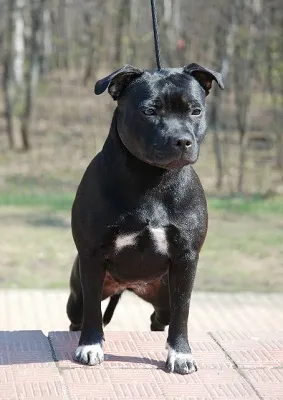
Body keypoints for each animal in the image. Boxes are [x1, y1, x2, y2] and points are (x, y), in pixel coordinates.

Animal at [67, 63, 224, 376]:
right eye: (149, 111)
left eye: (196, 111)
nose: (182, 140)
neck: (151, 179)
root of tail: (128, 285)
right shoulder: (91, 256)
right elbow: (93, 312)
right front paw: (90, 346)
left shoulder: (186, 258)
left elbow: (183, 310)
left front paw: (181, 354)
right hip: (76, 295)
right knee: (80, 314)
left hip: (163, 295)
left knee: (160, 319)